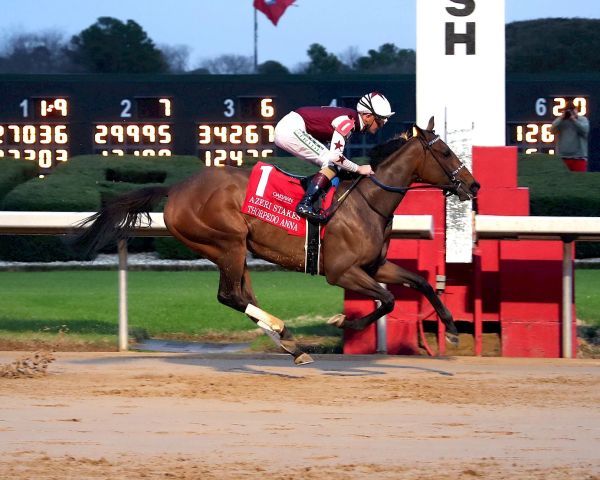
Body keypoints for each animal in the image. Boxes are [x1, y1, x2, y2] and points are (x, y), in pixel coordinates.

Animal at [74, 117, 478, 364]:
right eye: (444, 152)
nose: (473, 185)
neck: (367, 201)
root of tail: (176, 189)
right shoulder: (342, 271)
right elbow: (389, 299)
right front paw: (341, 323)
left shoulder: (374, 265)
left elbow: (421, 282)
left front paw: (453, 330)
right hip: (227, 242)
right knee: (231, 296)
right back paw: (285, 333)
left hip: (233, 251)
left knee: (243, 296)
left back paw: (290, 344)